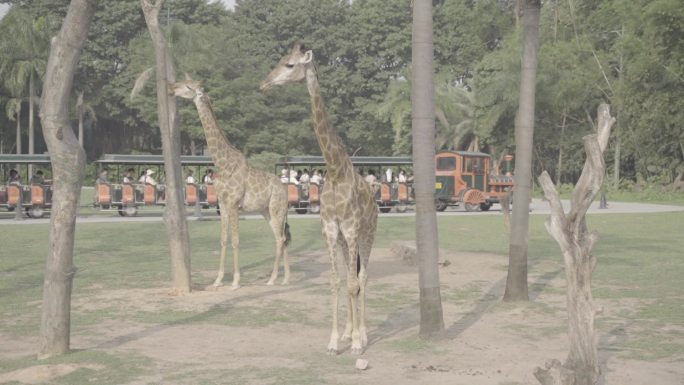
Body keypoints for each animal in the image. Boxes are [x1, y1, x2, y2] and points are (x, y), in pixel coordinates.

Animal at [170, 78, 292, 288]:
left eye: (188, 86)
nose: (172, 88)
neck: (223, 163)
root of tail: (285, 190)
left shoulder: (234, 205)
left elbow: (235, 240)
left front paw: (235, 281)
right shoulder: (223, 205)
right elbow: (223, 240)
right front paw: (218, 280)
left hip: (277, 209)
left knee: (280, 238)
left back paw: (272, 279)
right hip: (267, 211)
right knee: (281, 237)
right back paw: (285, 278)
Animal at [262, 42, 380, 354]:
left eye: (290, 65)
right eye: (281, 60)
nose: (265, 83)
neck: (336, 170)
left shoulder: (350, 229)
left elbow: (353, 283)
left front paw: (356, 344)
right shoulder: (331, 230)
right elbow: (336, 282)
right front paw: (335, 340)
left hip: (367, 234)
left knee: (363, 277)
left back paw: (363, 335)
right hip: (344, 241)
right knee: (351, 277)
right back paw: (350, 331)